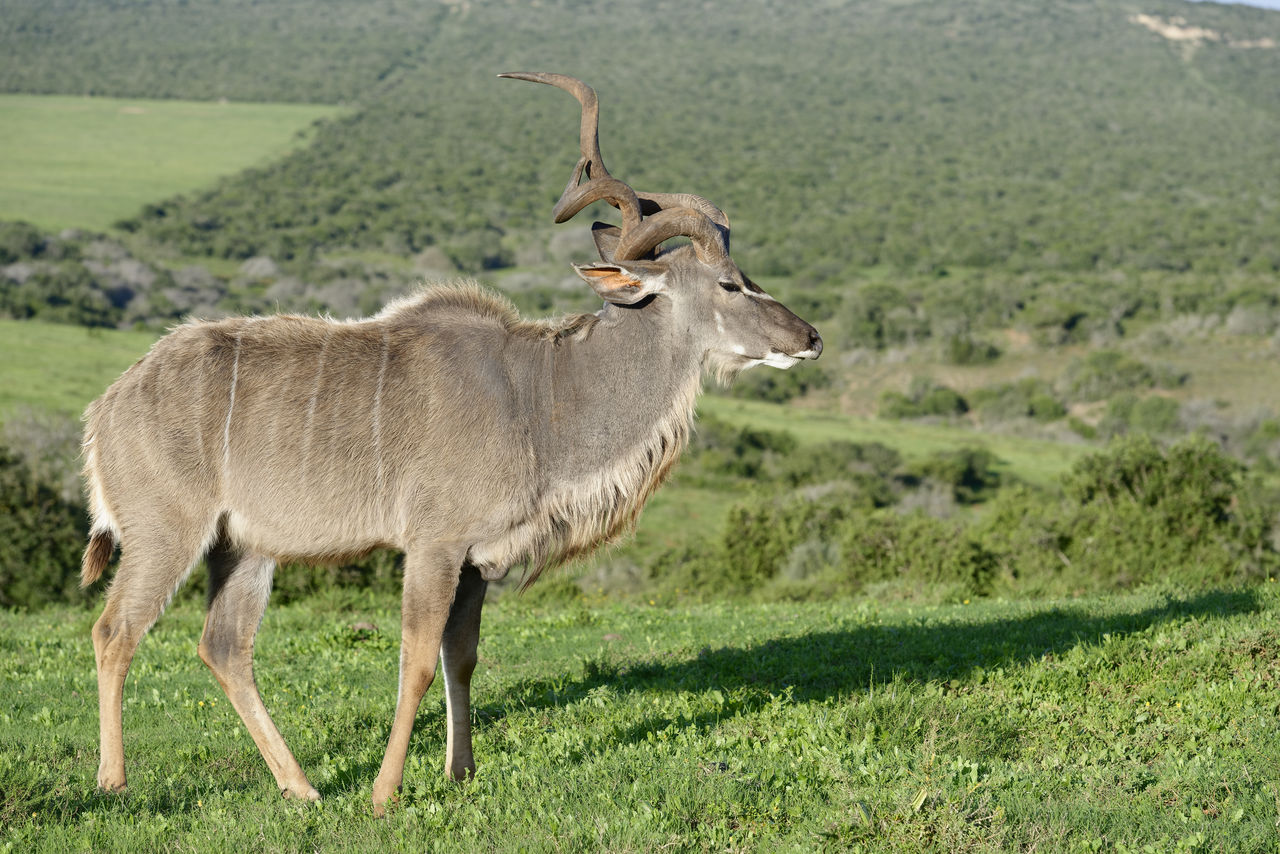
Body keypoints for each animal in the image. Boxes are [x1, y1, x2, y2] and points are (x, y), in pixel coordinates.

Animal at [82, 71, 819, 809]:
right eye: (729, 284)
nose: (809, 338)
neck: (540, 396)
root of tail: (106, 407)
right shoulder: (434, 545)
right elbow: (415, 659)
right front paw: (385, 794)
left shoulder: (475, 562)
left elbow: (459, 659)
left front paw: (459, 772)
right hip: (168, 533)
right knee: (115, 630)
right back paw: (114, 781)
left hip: (243, 546)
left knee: (224, 646)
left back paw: (303, 789)